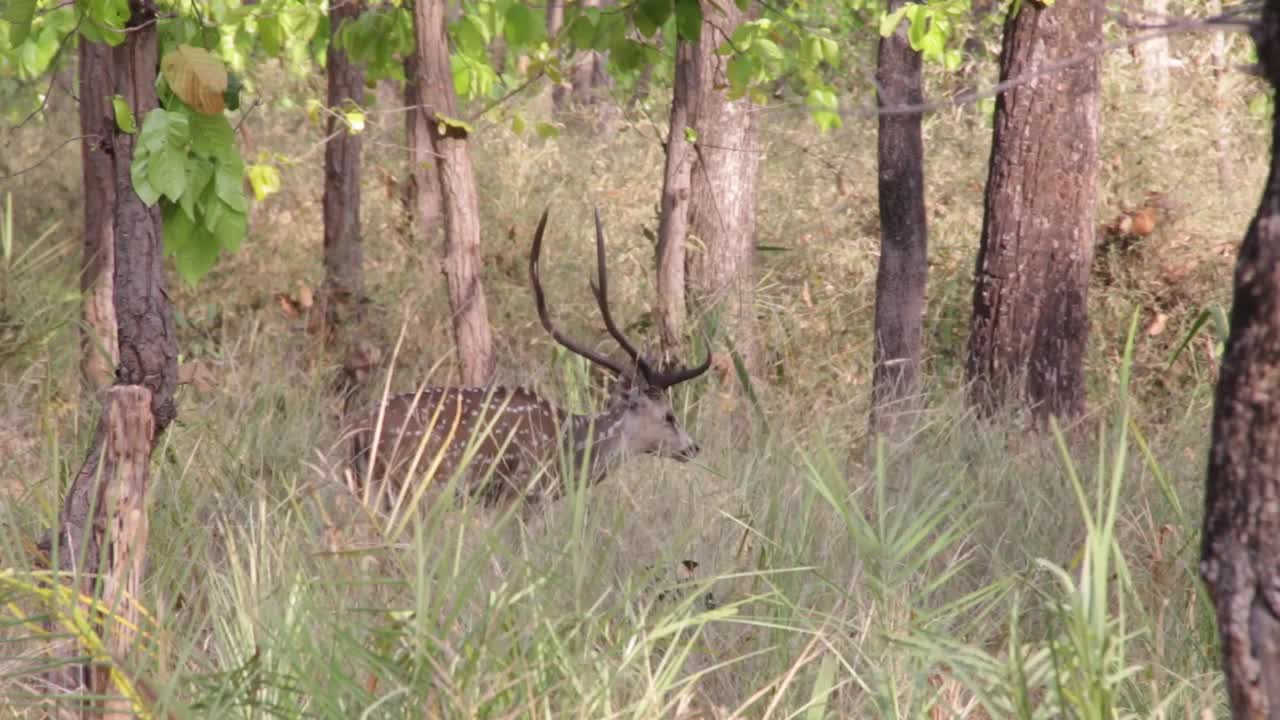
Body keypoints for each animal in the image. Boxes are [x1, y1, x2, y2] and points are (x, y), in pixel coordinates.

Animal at [350, 207, 711, 507]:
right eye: (669, 415)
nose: (692, 447)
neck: (571, 449)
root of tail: (358, 432)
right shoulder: (525, 492)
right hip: (416, 484)